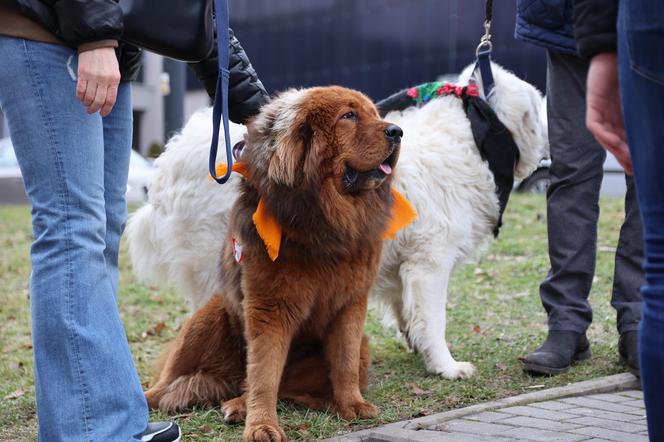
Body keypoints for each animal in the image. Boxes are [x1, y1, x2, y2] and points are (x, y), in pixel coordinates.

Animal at [126, 62, 544, 380]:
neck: (474, 140)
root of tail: (170, 159)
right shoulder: (430, 262)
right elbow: (433, 318)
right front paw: (447, 365)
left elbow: (408, 312)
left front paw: (417, 346)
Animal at [146, 84, 404, 440]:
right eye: (349, 116)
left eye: (375, 114)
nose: (397, 131)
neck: (324, 222)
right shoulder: (270, 307)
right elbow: (264, 373)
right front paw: (262, 425)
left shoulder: (351, 305)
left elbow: (345, 361)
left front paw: (351, 404)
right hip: (205, 320)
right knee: (172, 381)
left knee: (281, 386)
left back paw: (242, 404)